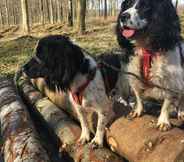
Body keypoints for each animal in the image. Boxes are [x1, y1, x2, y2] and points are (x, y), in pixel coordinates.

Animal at [117, 0, 184, 130]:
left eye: (145, 6)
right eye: (127, 5)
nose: (123, 16)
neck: (146, 48)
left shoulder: (170, 78)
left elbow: (167, 101)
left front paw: (163, 121)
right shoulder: (134, 73)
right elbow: (138, 95)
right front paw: (138, 110)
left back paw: (181, 112)